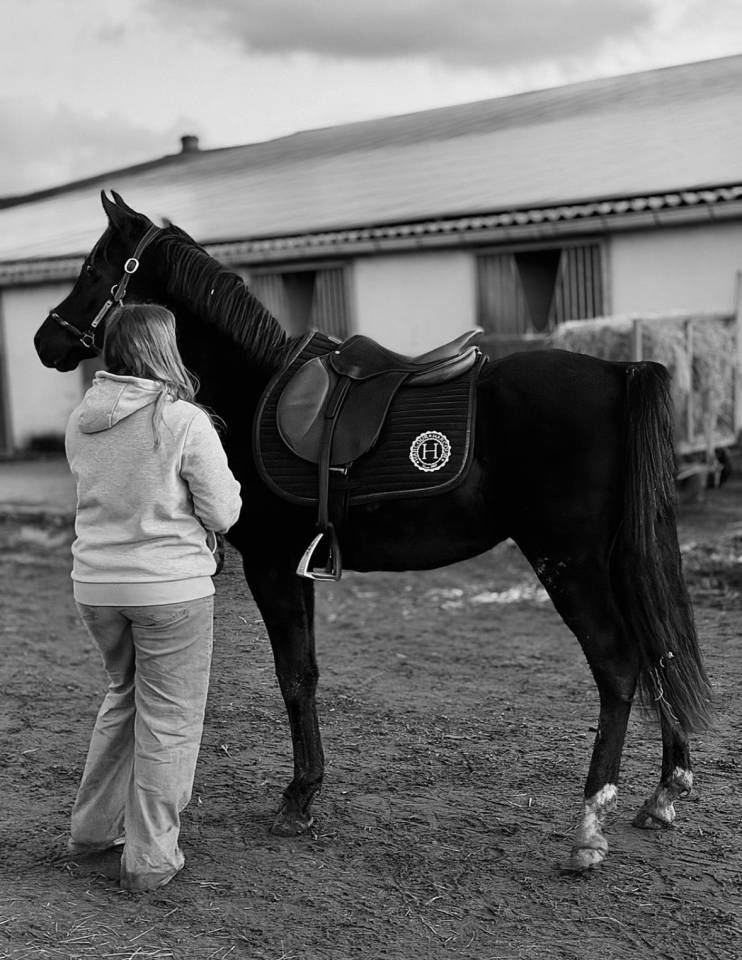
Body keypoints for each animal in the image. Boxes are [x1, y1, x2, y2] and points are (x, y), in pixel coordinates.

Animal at [34, 191, 711, 871]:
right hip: (614, 556)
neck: (254, 388)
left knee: (618, 664)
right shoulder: (295, 565)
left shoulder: (272, 565)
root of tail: (620, 371)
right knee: (658, 647)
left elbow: (293, 674)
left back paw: (589, 825)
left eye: (95, 265)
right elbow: (305, 672)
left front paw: (298, 798)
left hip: (567, 559)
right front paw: (306, 791)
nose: (46, 339)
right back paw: (664, 791)